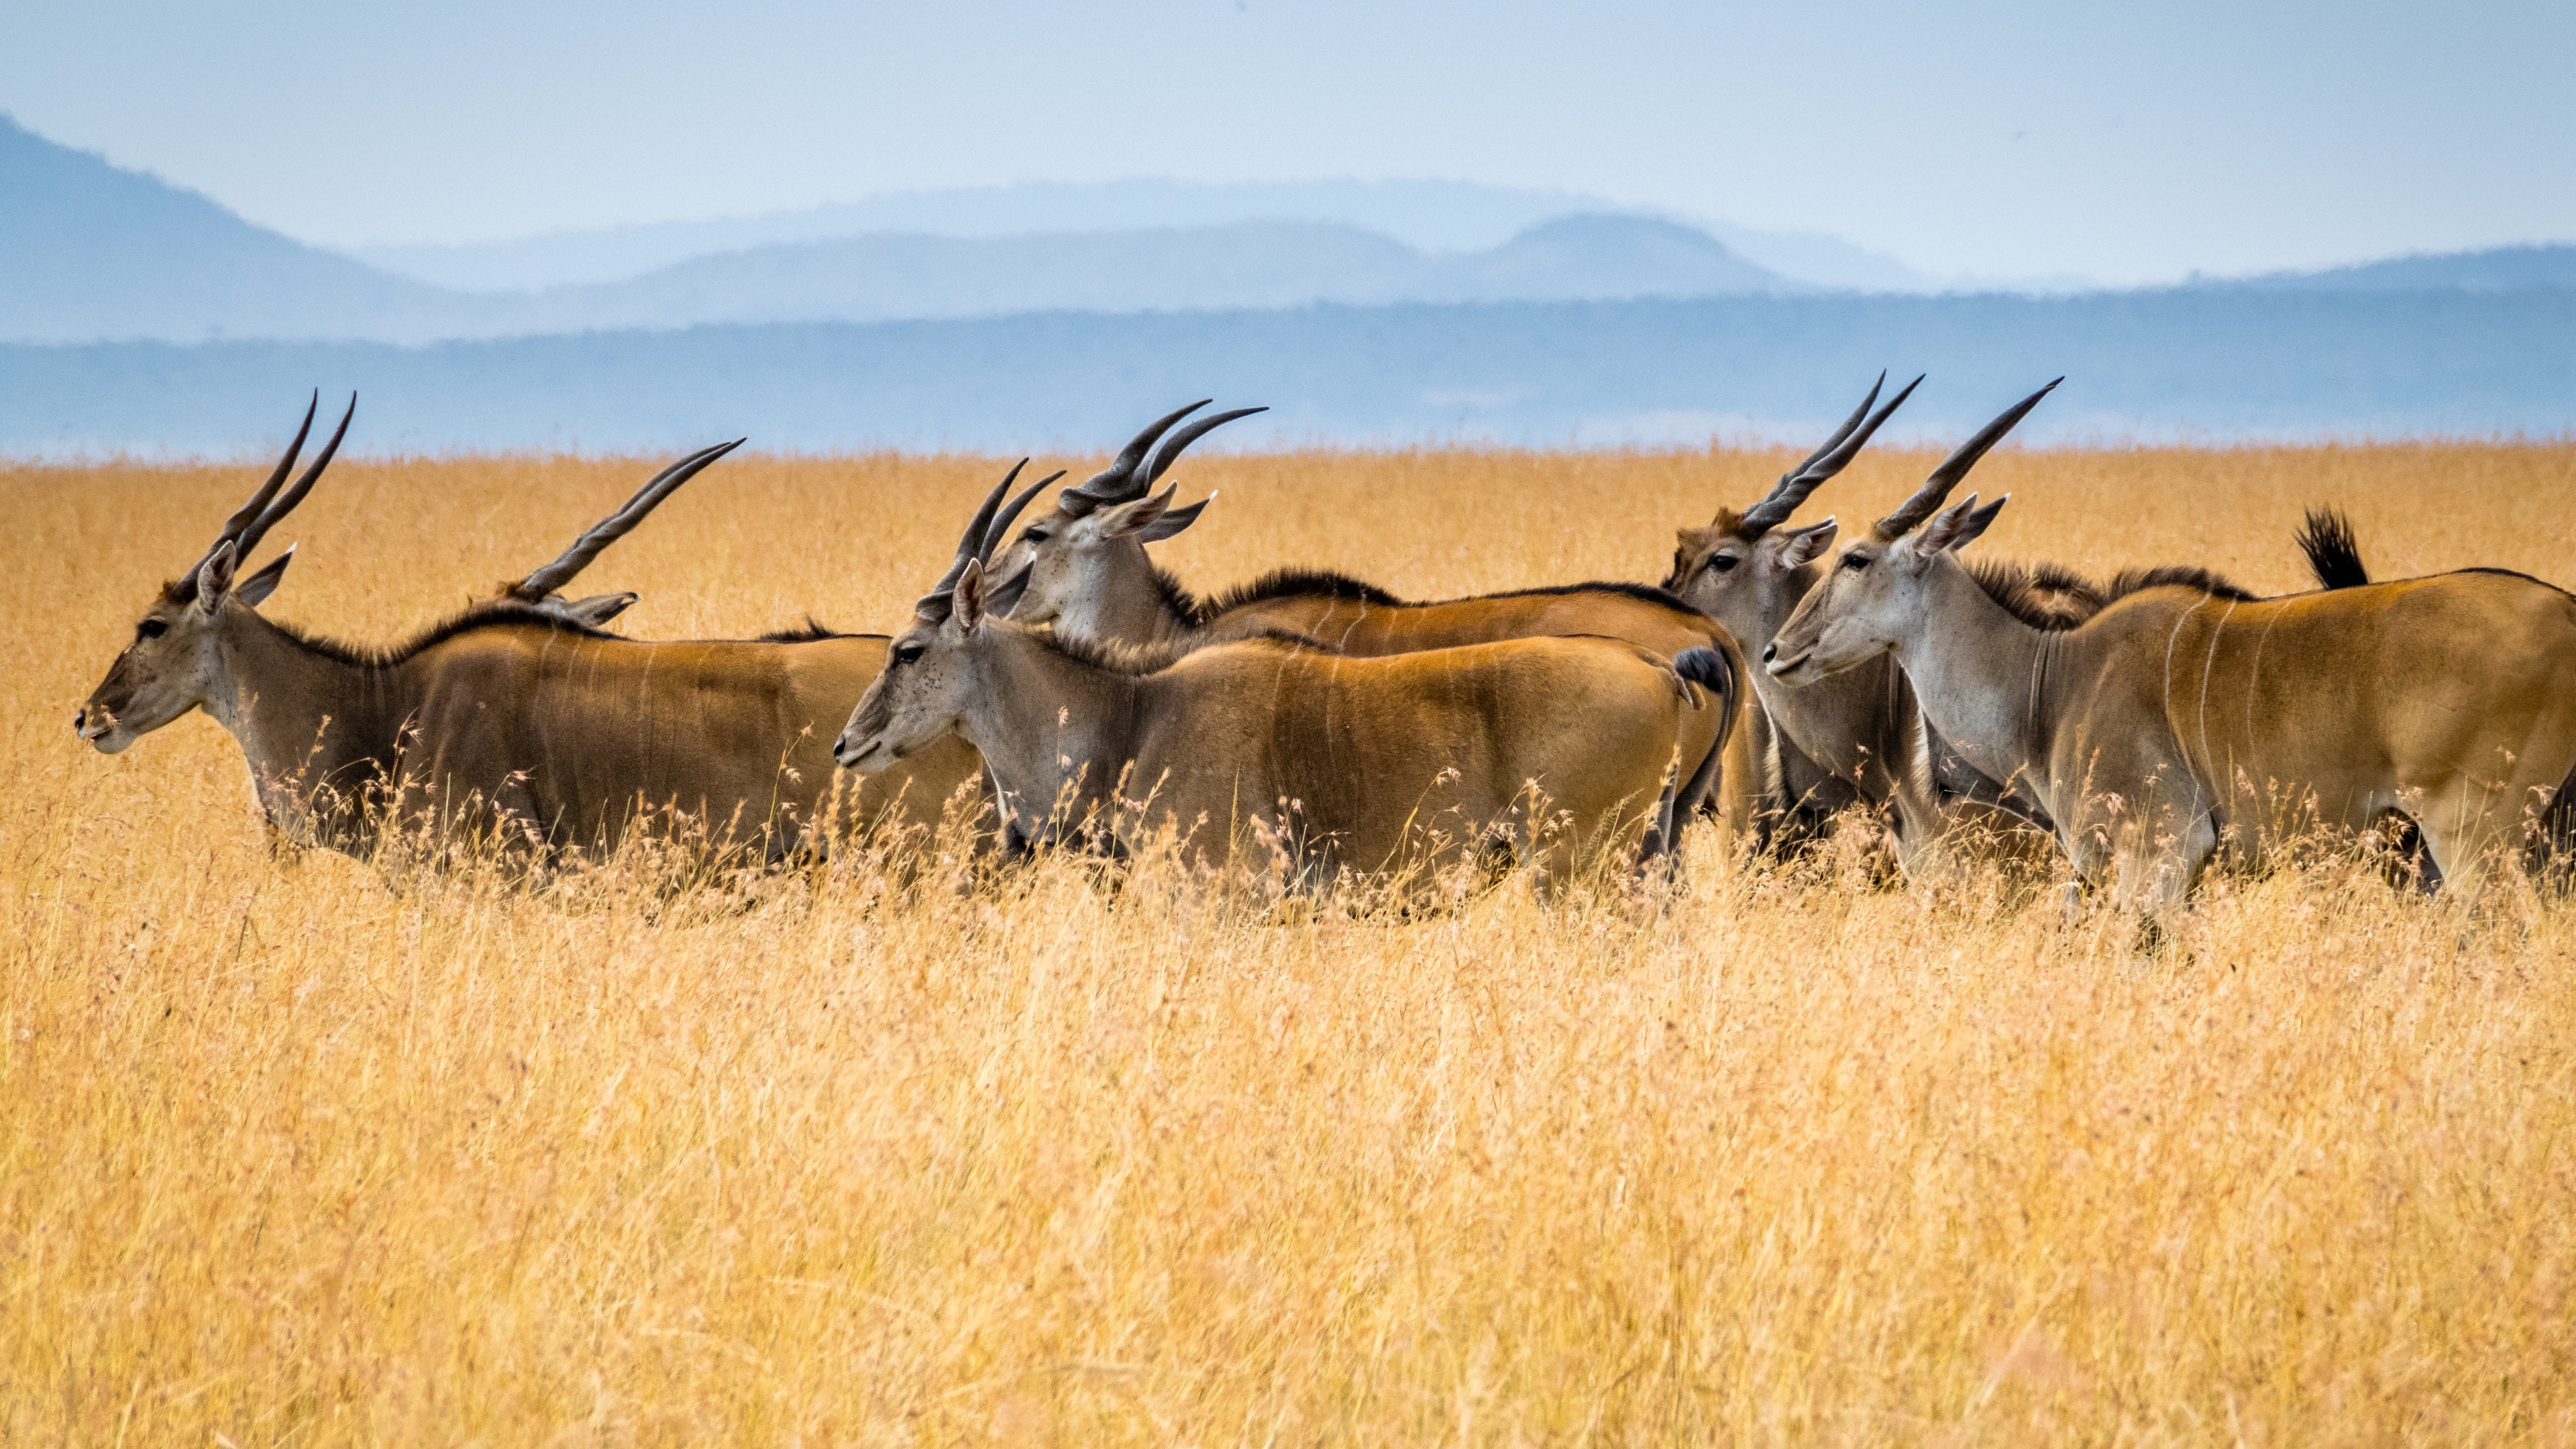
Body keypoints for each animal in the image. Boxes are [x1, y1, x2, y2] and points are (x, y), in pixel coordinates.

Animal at [1762, 381, 2576, 912]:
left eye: (1856, 560)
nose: (1775, 652)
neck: (2050, 681)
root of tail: (2567, 613)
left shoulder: (2158, 852)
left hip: (2474, 839)